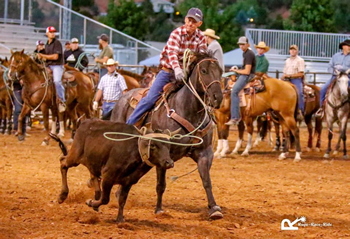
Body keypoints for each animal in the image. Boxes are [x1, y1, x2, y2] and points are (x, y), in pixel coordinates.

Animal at [110, 51, 224, 219]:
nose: (218, 98)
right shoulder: (163, 154)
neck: (186, 109)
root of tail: (123, 97)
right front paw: (158, 209)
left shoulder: (205, 153)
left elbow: (206, 180)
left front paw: (214, 208)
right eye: (203, 71)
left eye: (220, 72)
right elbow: (160, 184)